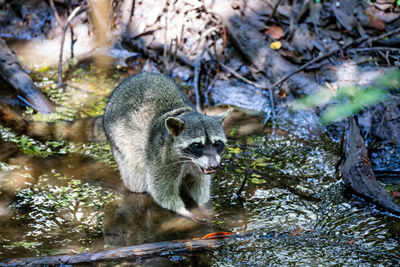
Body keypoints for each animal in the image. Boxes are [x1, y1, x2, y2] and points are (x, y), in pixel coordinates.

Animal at [0, 72, 231, 223]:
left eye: (217, 143)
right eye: (196, 145)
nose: (214, 165)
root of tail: (106, 111)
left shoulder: (199, 166)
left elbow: (200, 184)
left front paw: (203, 205)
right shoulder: (161, 158)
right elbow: (161, 190)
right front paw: (182, 210)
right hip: (121, 141)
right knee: (136, 179)